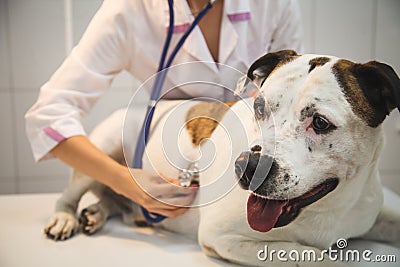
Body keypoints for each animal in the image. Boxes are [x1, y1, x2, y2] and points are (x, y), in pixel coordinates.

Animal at [44, 49, 400, 266]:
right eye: (259, 107)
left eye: (321, 123)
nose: (248, 167)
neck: (328, 208)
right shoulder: (223, 237)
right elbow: (312, 256)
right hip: (102, 145)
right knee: (73, 190)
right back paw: (66, 217)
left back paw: (96, 212)